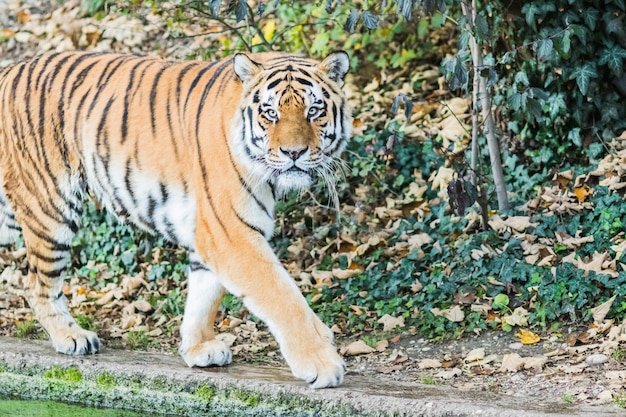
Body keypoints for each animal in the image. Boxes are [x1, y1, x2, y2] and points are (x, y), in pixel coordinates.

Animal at [0, 50, 352, 388]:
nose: (294, 153)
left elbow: (203, 296)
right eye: (270, 113)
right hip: (51, 207)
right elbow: (283, 297)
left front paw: (198, 348)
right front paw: (322, 363)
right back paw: (72, 337)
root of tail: (8, 71)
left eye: (314, 111)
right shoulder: (232, 233)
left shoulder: (211, 232)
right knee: (37, 286)